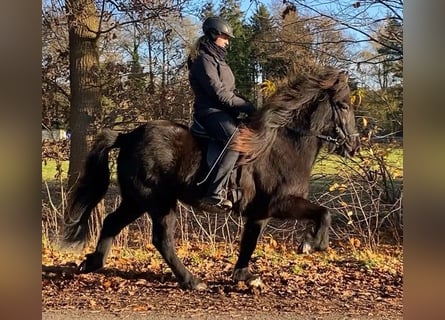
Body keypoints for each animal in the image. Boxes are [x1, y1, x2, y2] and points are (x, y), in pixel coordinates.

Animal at [63, 67, 360, 290]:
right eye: (343, 105)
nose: (354, 146)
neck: (283, 143)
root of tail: (127, 136)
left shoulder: (260, 212)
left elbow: (249, 241)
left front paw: (244, 276)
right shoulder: (281, 203)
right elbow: (324, 213)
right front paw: (311, 244)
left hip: (136, 200)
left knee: (112, 223)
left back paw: (93, 263)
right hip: (157, 202)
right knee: (161, 239)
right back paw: (191, 281)